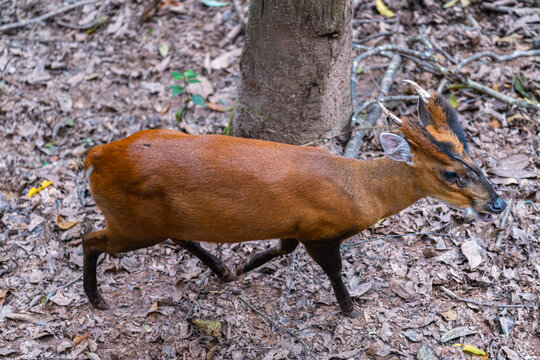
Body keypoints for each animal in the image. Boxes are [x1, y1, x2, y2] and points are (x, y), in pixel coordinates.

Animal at [83, 81, 506, 312]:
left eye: (471, 153)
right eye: (449, 173)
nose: (498, 203)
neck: (360, 191)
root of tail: (97, 156)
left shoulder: (295, 225)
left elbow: (282, 249)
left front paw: (242, 267)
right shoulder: (319, 230)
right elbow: (334, 271)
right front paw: (350, 310)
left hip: (154, 217)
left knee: (177, 235)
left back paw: (220, 269)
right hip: (131, 221)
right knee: (90, 238)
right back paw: (96, 299)